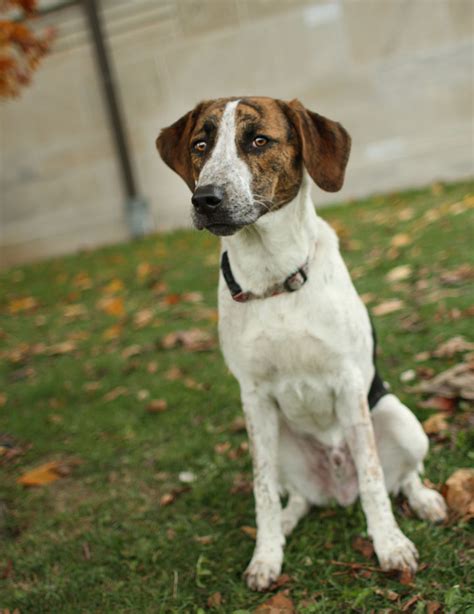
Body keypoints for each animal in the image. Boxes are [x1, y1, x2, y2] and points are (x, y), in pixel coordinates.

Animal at [156, 96, 448, 592]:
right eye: (200, 145)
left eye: (259, 140)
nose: (206, 199)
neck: (273, 277)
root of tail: (337, 488)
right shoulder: (253, 399)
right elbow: (261, 490)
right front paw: (266, 555)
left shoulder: (348, 383)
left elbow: (374, 478)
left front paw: (390, 546)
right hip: (281, 444)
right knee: (295, 495)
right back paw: (288, 522)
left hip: (400, 420)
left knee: (401, 477)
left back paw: (424, 500)